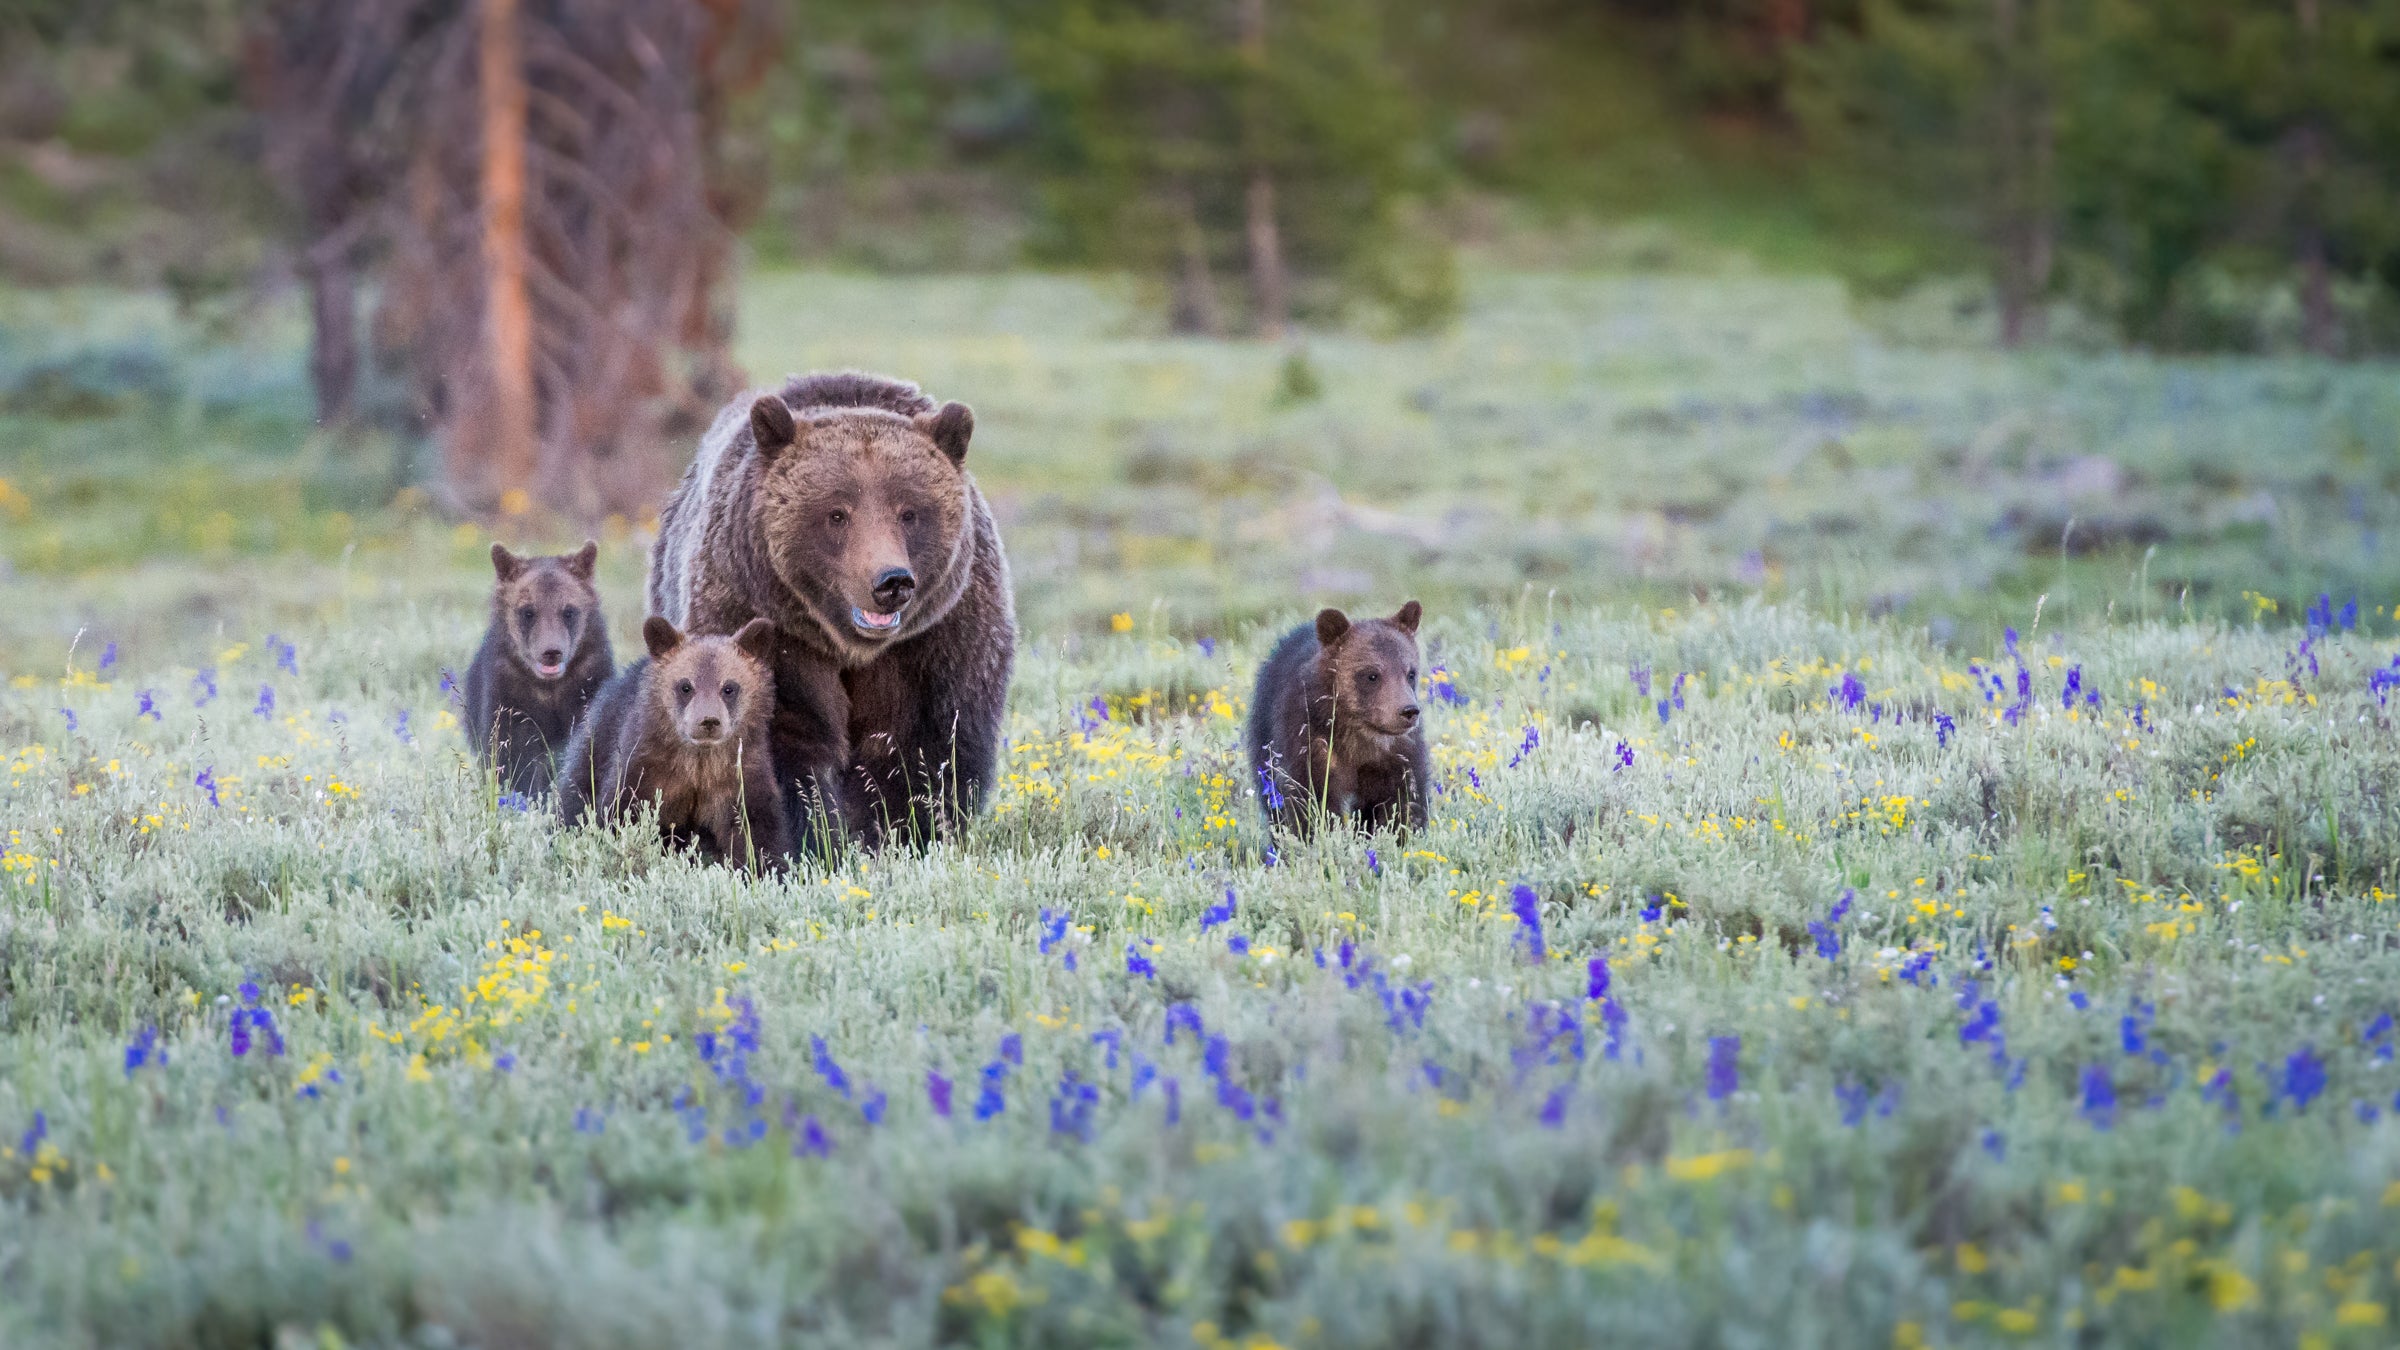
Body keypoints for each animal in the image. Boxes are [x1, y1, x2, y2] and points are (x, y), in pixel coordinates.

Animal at [462, 541, 613, 797]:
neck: (549, 690)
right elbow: (512, 758)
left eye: (569, 611)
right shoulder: (509, 695)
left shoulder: (588, 684)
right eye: (528, 611)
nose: (551, 652)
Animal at [556, 616, 788, 869]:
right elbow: (620, 814)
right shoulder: (646, 770)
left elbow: (756, 833)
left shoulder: (741, 776)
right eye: (686, 686)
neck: (699, 763)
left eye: (729, 687)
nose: (708, 721)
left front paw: (761, 868)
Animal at [646, 371, 1015, 851]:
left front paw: (905, 832)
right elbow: (778, 742)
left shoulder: (937, 641)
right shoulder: (763, 626)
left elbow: (927, 750)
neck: (850, 648)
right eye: (837, 513)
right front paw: (811, 837)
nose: (891, 582)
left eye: (910, 512)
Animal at [1245, 601, 1432, 837]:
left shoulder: (1397, 755)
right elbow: (1310, 799)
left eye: (1410, 673)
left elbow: (1403, 802)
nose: (1408, 711)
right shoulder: (1309, 742)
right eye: (1372, 674)